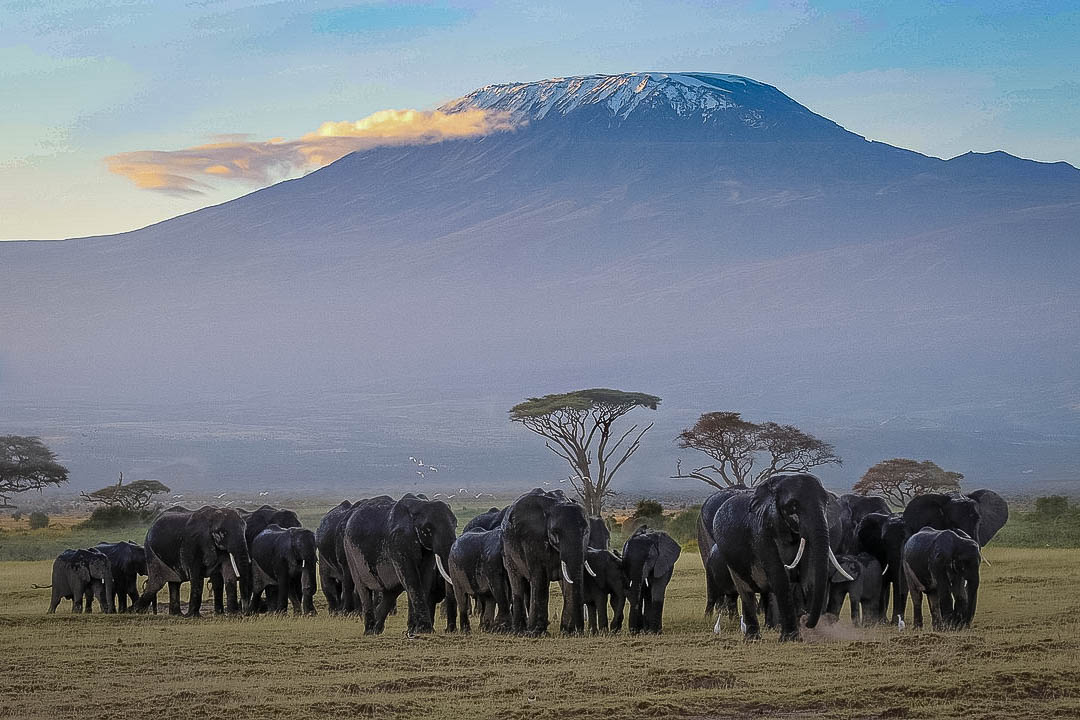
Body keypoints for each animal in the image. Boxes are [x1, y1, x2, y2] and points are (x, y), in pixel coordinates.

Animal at [343, 492, 457, 634]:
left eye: (456, 525)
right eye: (427, 529)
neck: (419, 506)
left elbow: (424, 578)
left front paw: (414, 630)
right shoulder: (398, 542)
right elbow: (412, 578)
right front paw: (424, 630)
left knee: (391, 592)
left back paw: (376, 630)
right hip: (350, 552)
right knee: (363, 589)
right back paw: (369, 631)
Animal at [498, 487, 587, 634]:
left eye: (585, 531)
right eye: (555, 532)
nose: (578, 630)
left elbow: (567, 579)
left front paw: (568, 631)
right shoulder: (532, 537)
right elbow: (540, 575)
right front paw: (535, 632)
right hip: (507, 550)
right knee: (517, 581)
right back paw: (519, 631)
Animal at [708, 472, 851, 643]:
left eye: (826, 503)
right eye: (793, 505)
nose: (807, 621)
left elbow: (809, 577)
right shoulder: (761, 533)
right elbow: (779, 577)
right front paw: (791, 639)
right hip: (730, 559)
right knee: (745, 591)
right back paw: (752, 639)